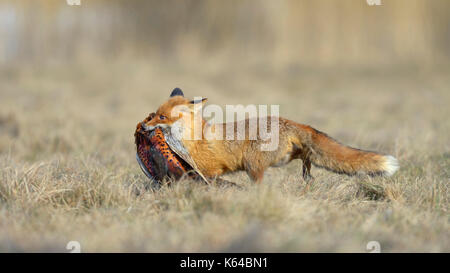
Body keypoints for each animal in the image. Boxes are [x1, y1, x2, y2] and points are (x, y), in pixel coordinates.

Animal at [142, 87, 400, 183]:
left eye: (161, 117)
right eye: (154, 115)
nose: (144, 128)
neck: (190, 140)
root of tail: (291, 121)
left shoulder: (209, 170)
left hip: (253, 165)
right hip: (283, 157)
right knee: (306, 156)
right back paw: (307, 178)